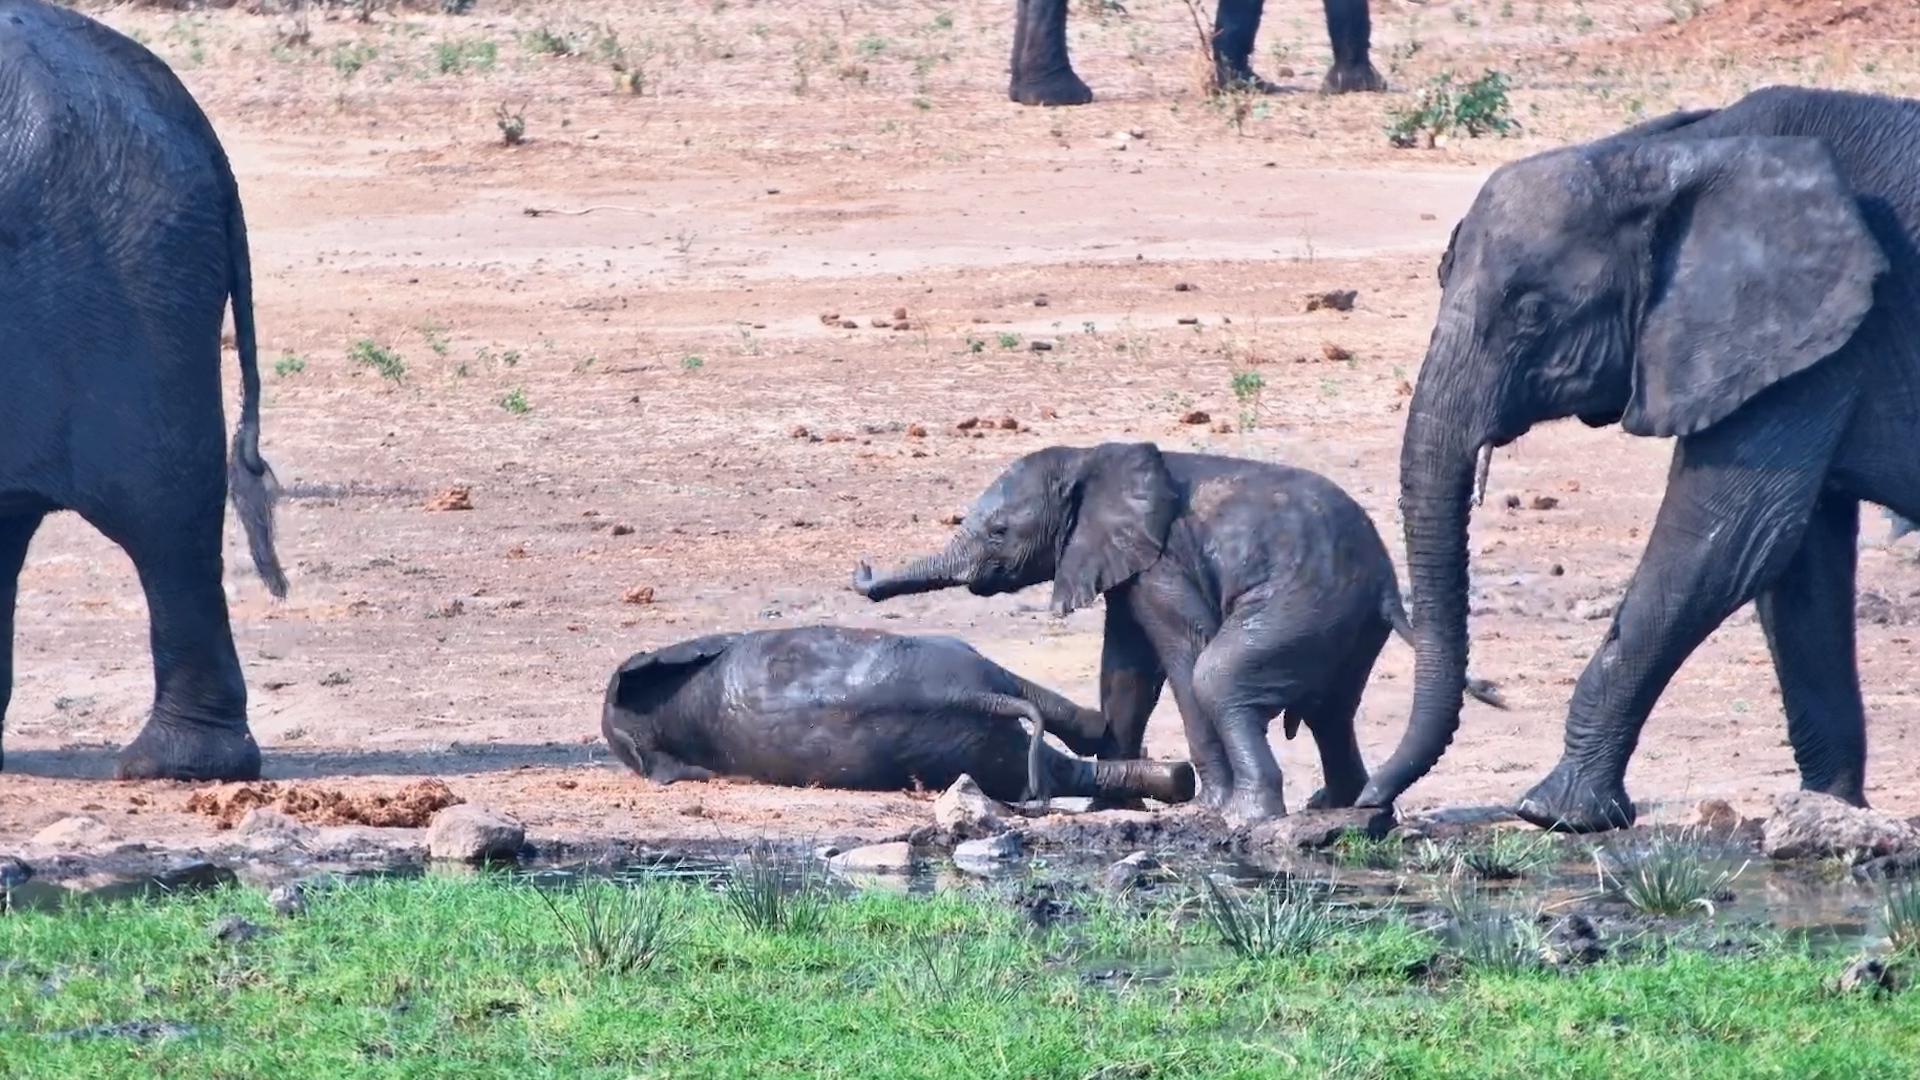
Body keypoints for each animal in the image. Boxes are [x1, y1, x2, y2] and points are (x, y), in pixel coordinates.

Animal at [850, 443, 1504, 823]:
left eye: (997, 532)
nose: (862, 574)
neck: (1092, 458)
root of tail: (1388, 587)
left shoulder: (1162, 561)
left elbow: (1183, 654)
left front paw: (1203, 805)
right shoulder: (1122, 562)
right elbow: (1126, 669)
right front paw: (1110, 804)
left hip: (1307, 604)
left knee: (1222, 676)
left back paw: (1247, 816)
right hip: (1342, 624)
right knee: (1331, 712)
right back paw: (1336, 805)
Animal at [1359, 85, 1920, 832]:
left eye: (1532, 312)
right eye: (1442, 272)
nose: (1372, 805)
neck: (1669, 156)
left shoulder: (1817, 333)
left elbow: (1724, 541)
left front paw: (1557, 813)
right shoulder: (1807, 348)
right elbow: (1798, 565)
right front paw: (1828, 813)